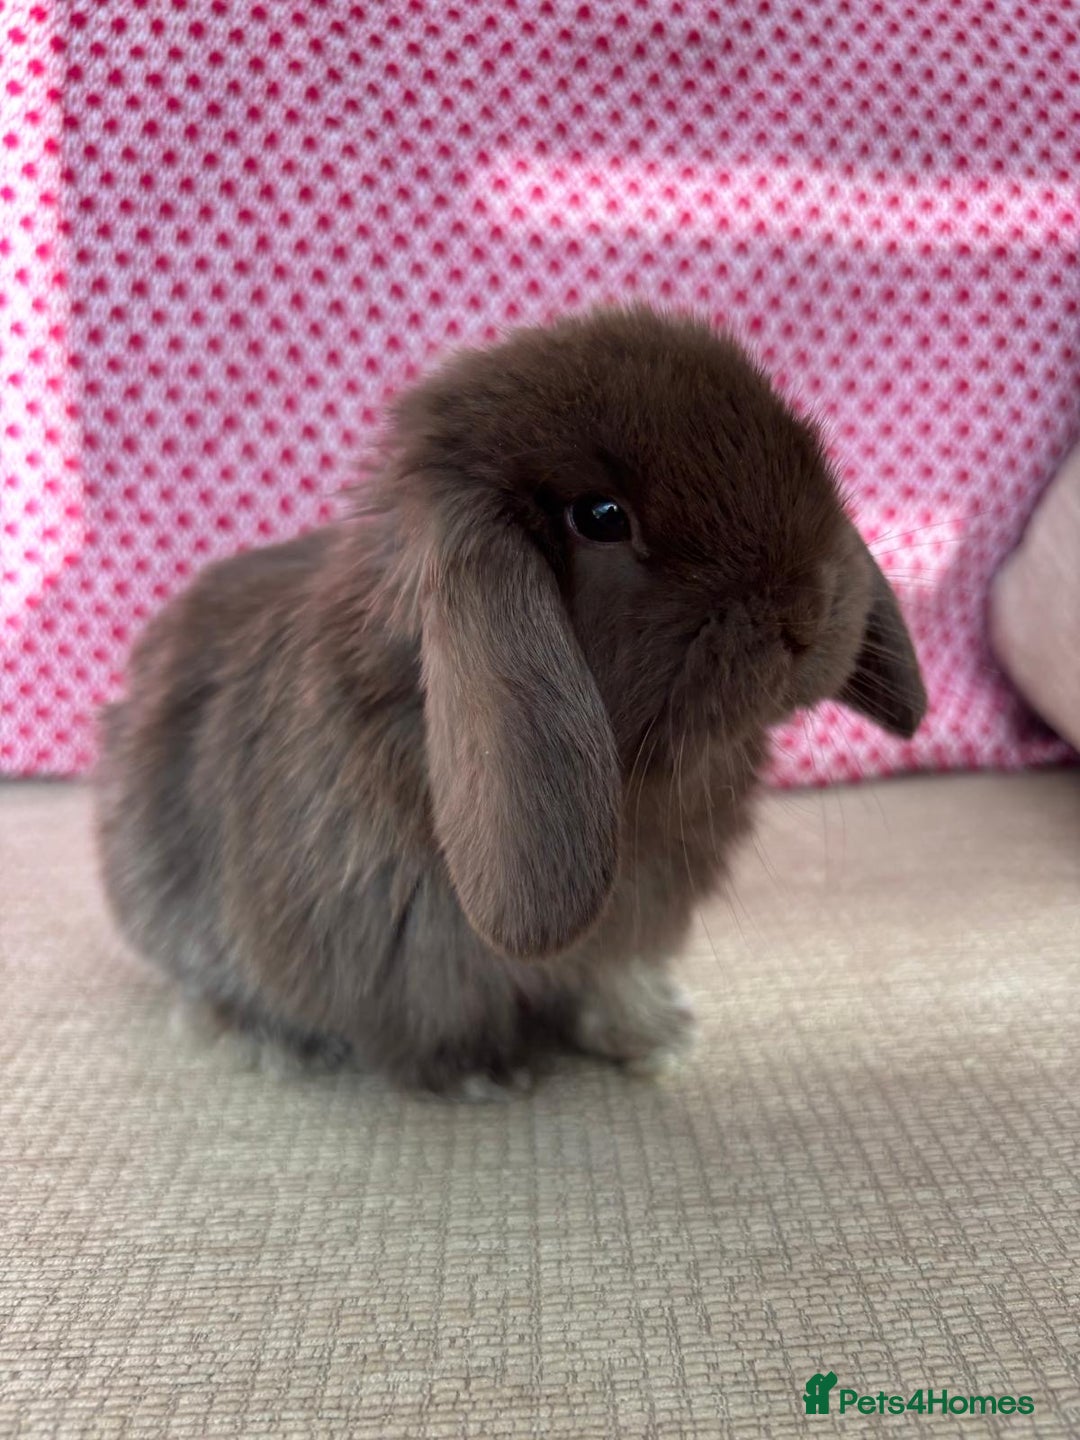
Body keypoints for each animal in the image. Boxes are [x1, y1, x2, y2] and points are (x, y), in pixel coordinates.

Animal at [94, 305, 926, 1095]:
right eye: (601, 517)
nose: (806, 614)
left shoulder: (628, 932)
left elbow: (611, 983)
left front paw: (655, 1037)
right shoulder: (425, 964)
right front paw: (483, 1074)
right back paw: (268, 1042)